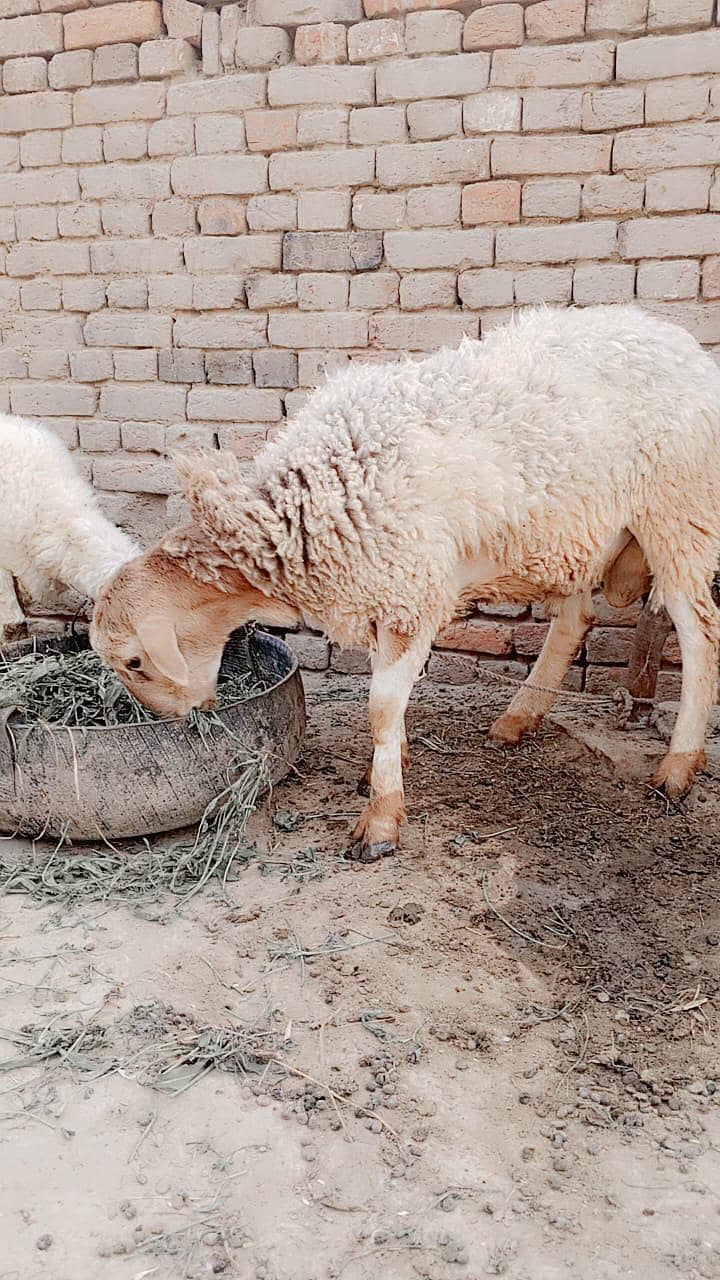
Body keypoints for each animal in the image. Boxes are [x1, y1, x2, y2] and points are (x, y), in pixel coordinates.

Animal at [91, 304, 720, 862]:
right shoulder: (382, 587)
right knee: (575, 619)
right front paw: (386, 769)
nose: (176, 725)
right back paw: (518, 719)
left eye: (135, 662)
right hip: (572, 532)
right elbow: (387, 703)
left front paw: (381, 820)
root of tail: (682, 344)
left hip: (678, 509)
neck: (299, 507)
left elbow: (380, 706)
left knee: (699, 633)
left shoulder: (407, 593)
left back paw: (677, 767)